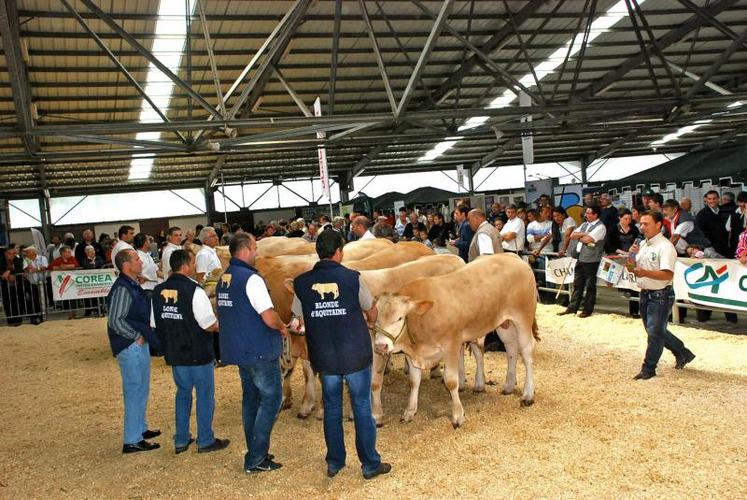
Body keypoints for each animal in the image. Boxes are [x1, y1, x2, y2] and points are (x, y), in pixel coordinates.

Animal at [372, 256, 536, 428]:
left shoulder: (451, 344)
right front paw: (410, 411)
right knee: (511, 348)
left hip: (523, 318)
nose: (380, 346)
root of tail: (513, 257)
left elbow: (451, 381)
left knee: (527, 352)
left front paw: (458, 416)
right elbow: (414, 381)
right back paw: (509, 386)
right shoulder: (412, 354)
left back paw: (528, 395)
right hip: (505, 324)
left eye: (399, 318)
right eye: (376, 318)